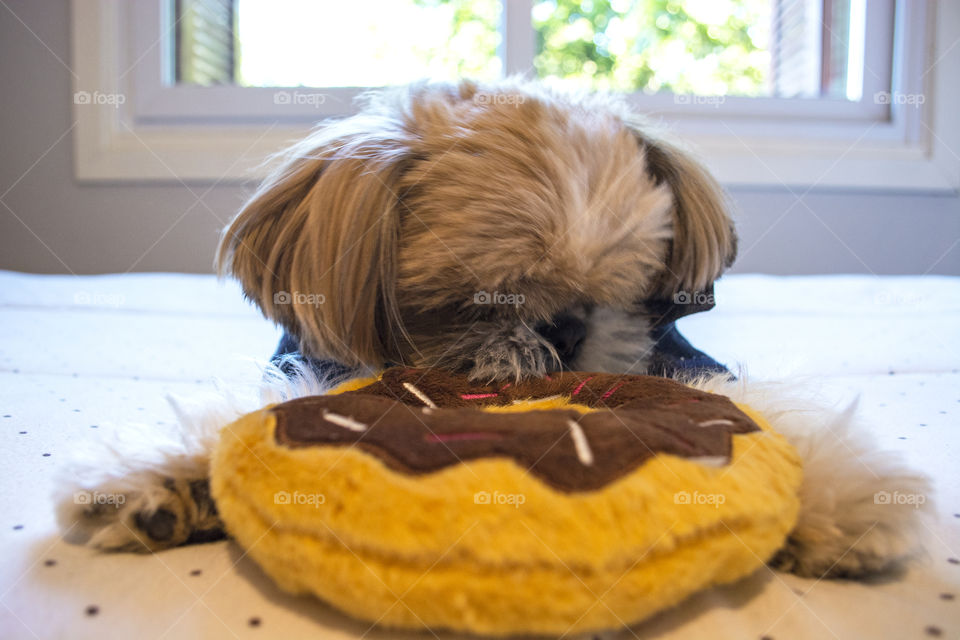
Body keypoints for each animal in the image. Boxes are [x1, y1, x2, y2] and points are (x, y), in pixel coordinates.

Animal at [56, 80, 928, 584]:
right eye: (475, 302)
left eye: (623, 288)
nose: (565, 329)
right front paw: (156, 482)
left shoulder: (675, 361)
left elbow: (754, 410)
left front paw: (839, 500)